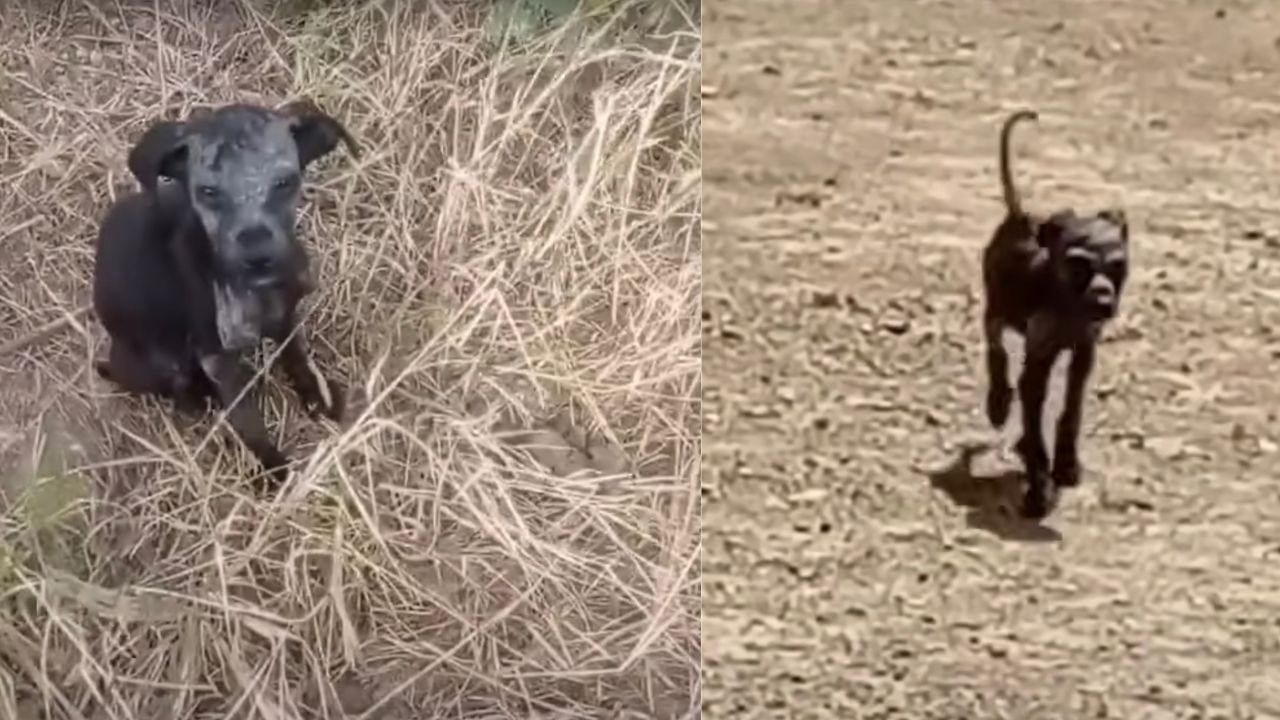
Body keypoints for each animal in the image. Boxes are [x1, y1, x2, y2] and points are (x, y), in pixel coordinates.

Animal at [93, 98, 360, 484]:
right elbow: (249, 421)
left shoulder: (285, 315)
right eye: (208, 192)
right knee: (182, 392)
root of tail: (114, 362)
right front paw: (274, 472)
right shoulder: (217, 359)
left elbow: (295, 354)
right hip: (162, 363)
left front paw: (316, 395)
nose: (259, 257)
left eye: (284, 182)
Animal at [977, 107, 1131, 515]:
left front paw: (1065, 464)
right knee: (994, 345)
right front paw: (1039, 486)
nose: (1103, 299)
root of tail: (1020, 217)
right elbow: (1034, 419)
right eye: (1078, 265)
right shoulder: (1037, 362)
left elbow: (1071, 410)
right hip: (997, 309)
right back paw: (998, 401)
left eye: (1118, 266)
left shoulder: (1084, 352)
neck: (1068, 308)